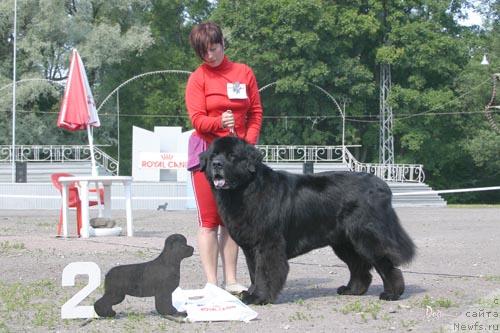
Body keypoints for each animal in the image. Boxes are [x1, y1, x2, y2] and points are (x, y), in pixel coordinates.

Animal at [201, 136, 416, 304]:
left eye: (232, 156)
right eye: (213, 155)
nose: (216, 164)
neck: (246, 190)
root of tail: (383, 186)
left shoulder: (268, 243)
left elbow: (265, 272)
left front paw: (259, 297)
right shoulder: (251, 248)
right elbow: (255, 272)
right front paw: (251, 293)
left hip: (367, 236)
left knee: (385, 263)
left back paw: (392, 293)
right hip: (344, 243)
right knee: (359, 267)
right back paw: (352, 290)